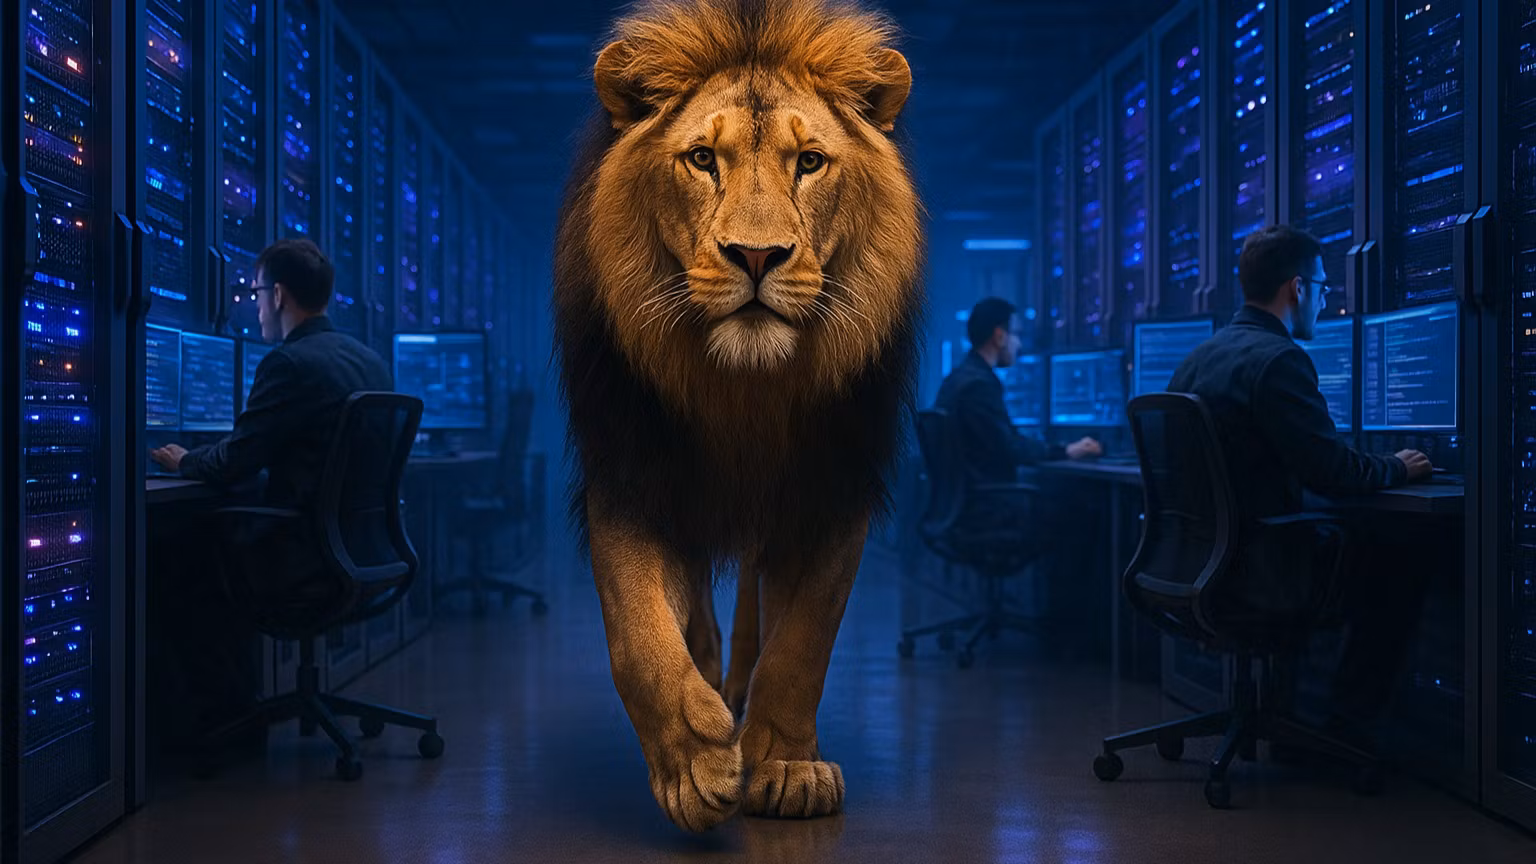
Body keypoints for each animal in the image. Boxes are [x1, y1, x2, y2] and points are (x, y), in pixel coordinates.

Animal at [552, 0, 923, 833]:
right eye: (701, 160)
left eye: (809, 163)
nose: (757, 257)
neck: (744, 391)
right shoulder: (628, 472)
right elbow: (640, 633)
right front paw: (695, 765)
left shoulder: (833, 483)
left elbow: (804, 642)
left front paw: (784, 765)